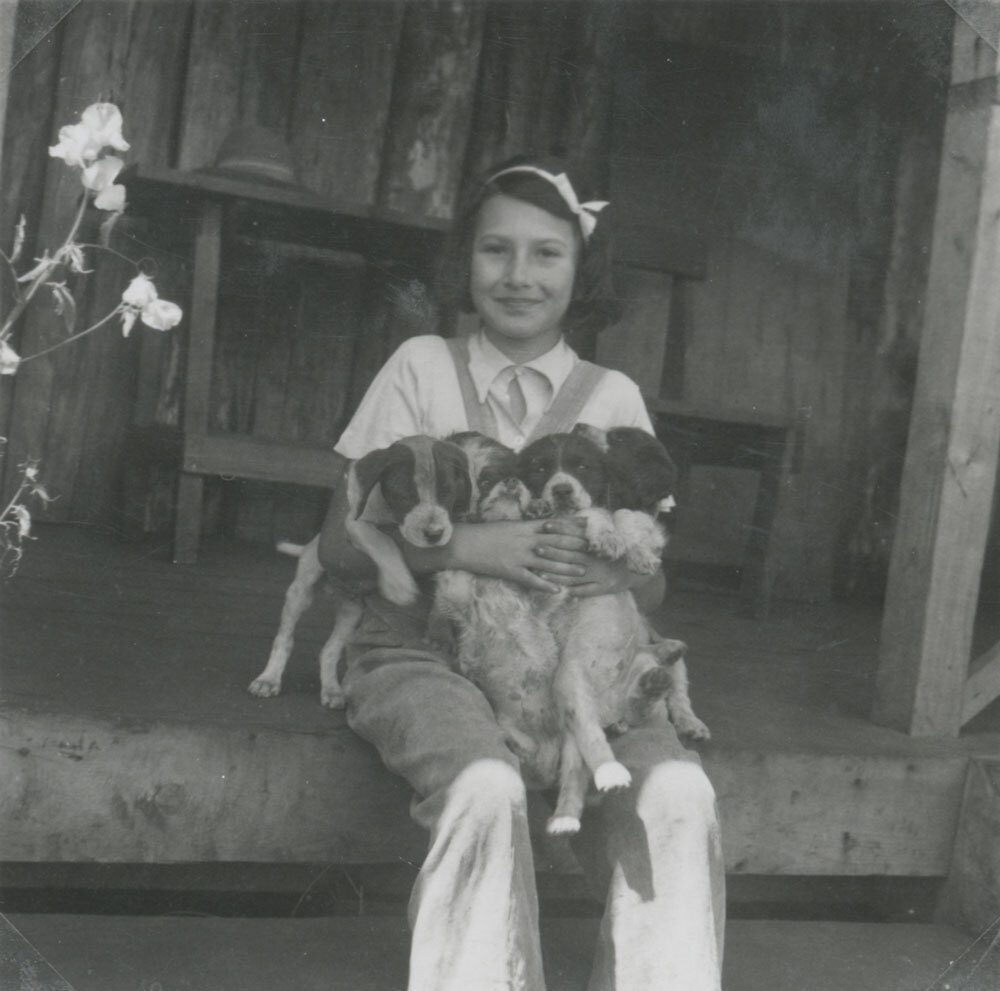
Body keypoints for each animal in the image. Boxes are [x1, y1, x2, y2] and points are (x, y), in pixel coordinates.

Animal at [248, 434, 470, 704]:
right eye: (404, 495)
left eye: (447, 492)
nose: (435, 534)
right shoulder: (354, 526)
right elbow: (382, 541)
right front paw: (399, 586)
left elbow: (443, 586)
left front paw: (440, 632)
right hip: (301, 592)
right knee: (285, 638)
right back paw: (269, 679)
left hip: (351, 612)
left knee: (329, 650)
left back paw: (332, 689)